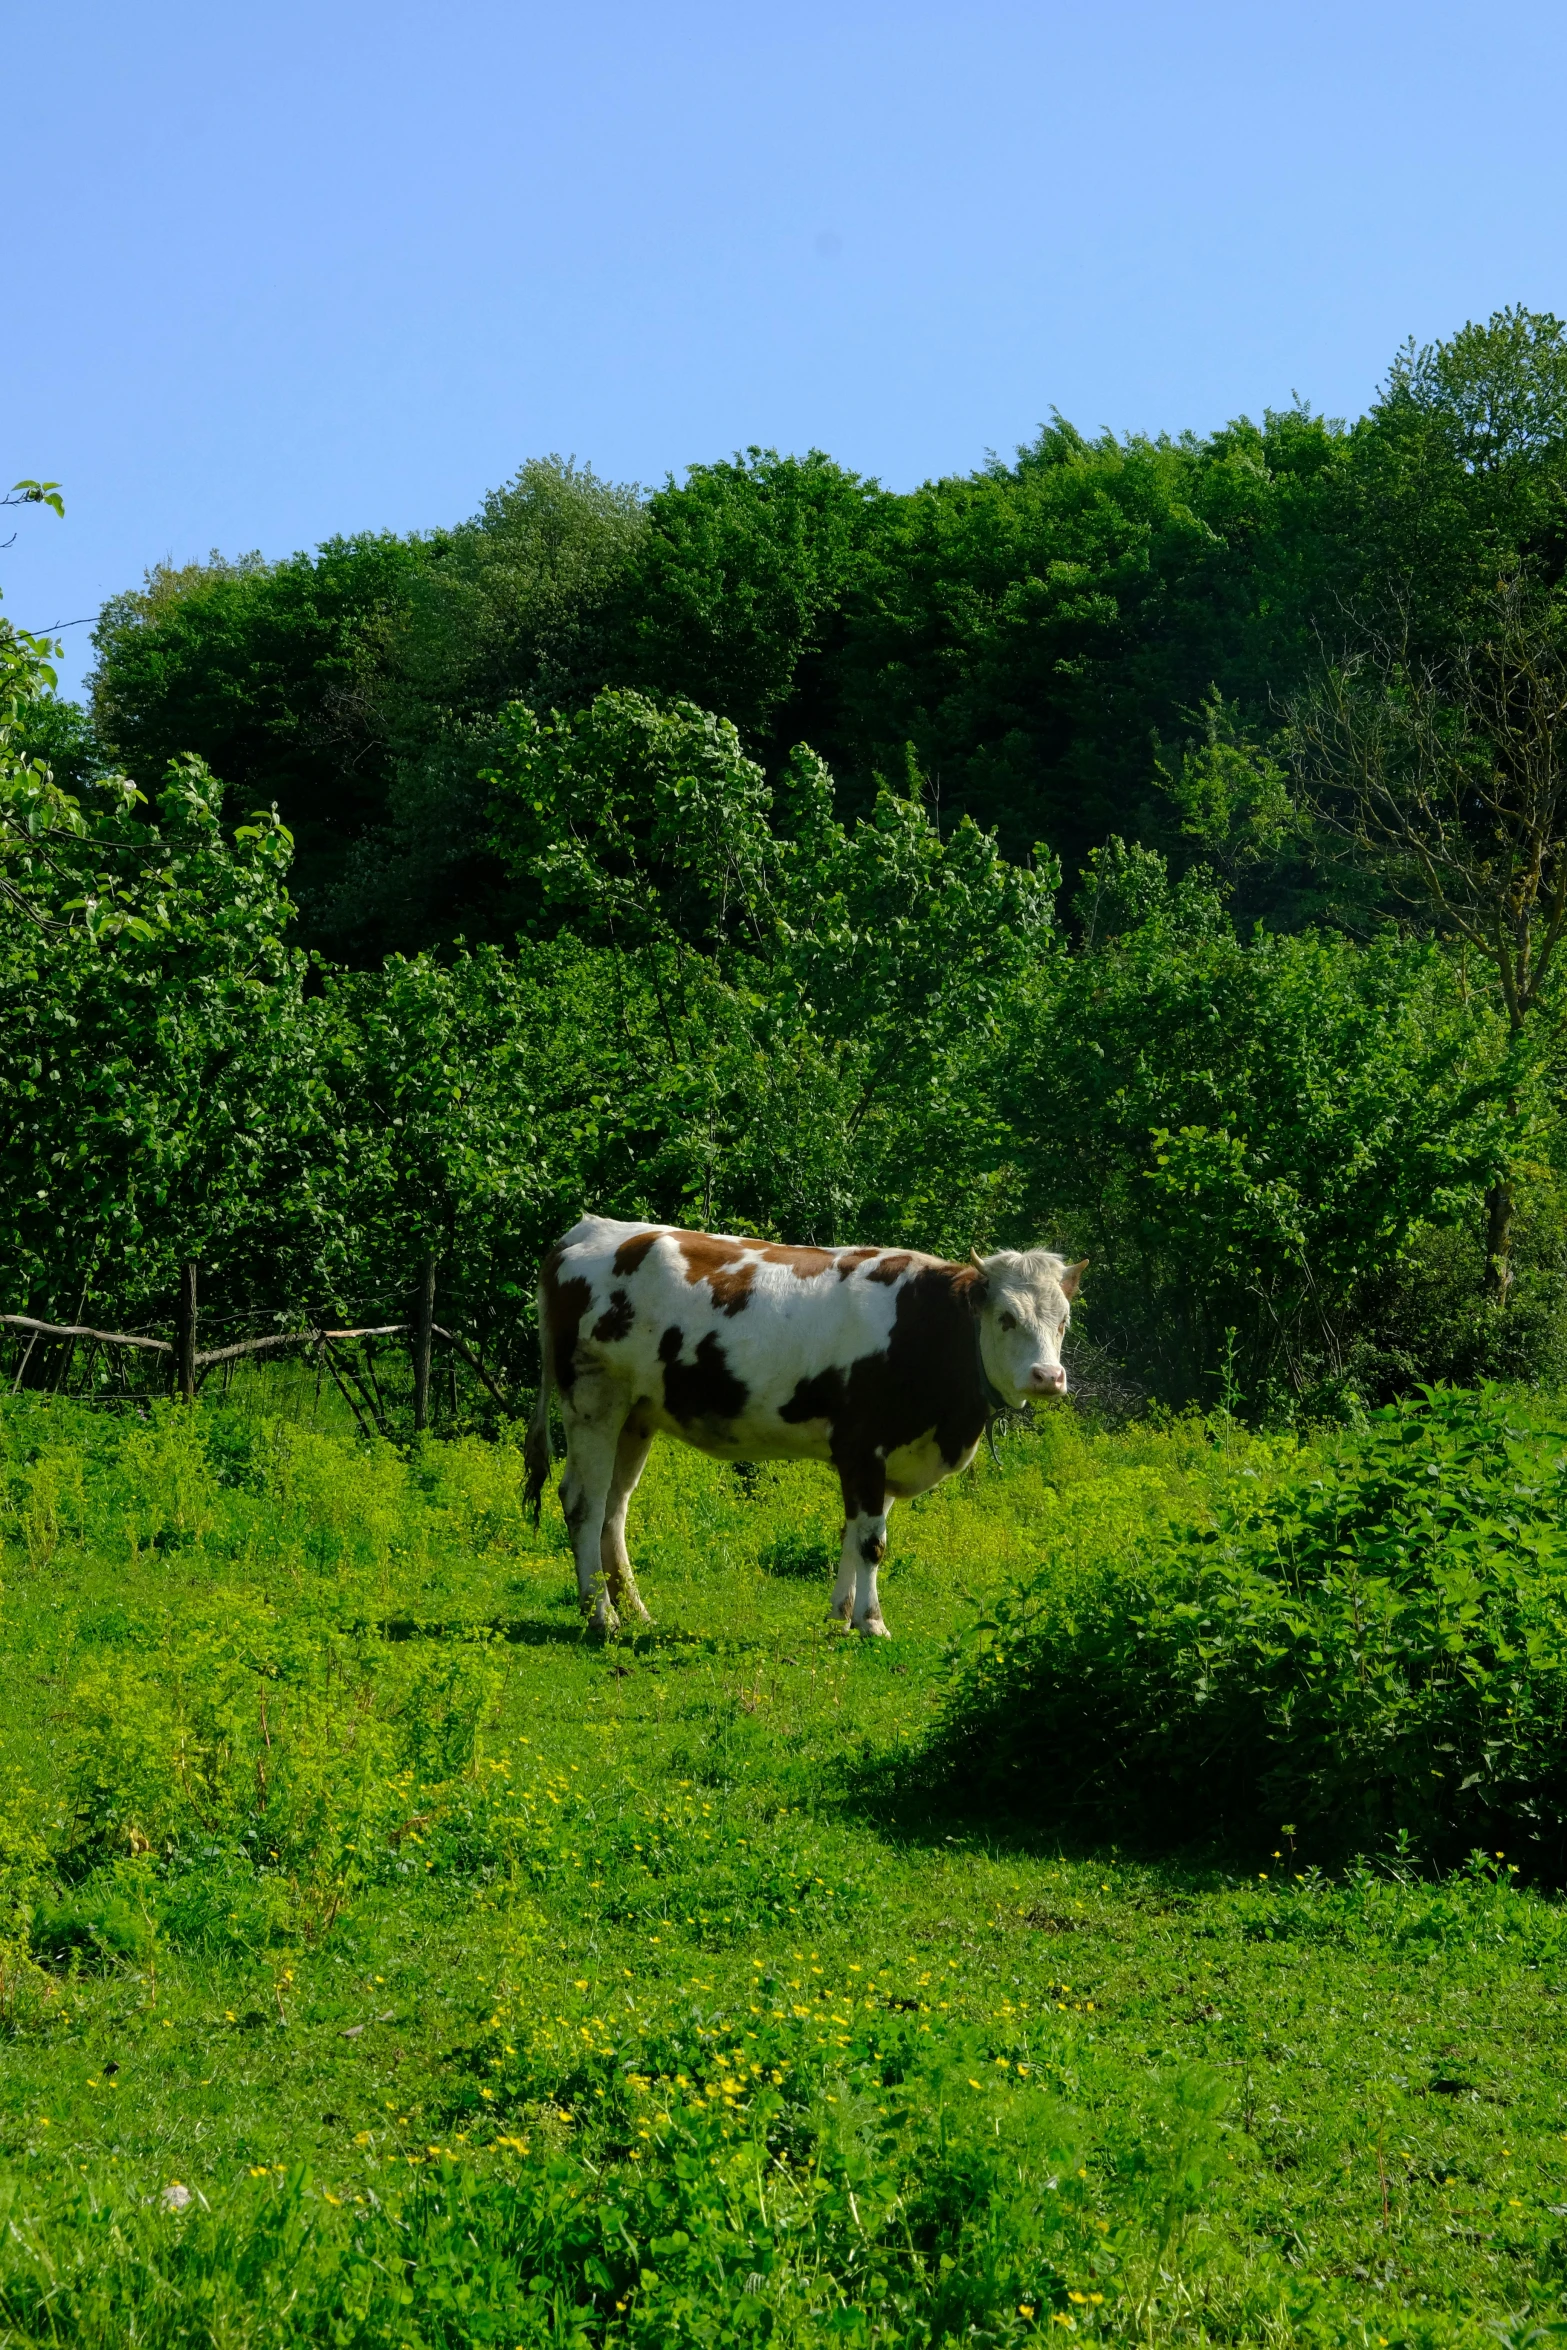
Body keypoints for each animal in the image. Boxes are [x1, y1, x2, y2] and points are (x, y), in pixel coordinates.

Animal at [521, 1231, 1085, 1635]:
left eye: (1063, 1321)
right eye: (1007, 1317)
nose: (1048, 1377)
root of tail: (586, 1231)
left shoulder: (883, 1458)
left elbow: (853, 1533)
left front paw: (840, 1615)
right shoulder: (864, 1447)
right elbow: (872, 1542)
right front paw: (872, 1624)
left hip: (635, 1417)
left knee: (614, 1509)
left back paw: (635, 1610)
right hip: (594, 1401)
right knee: (583, 1502)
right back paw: (601, 1616)